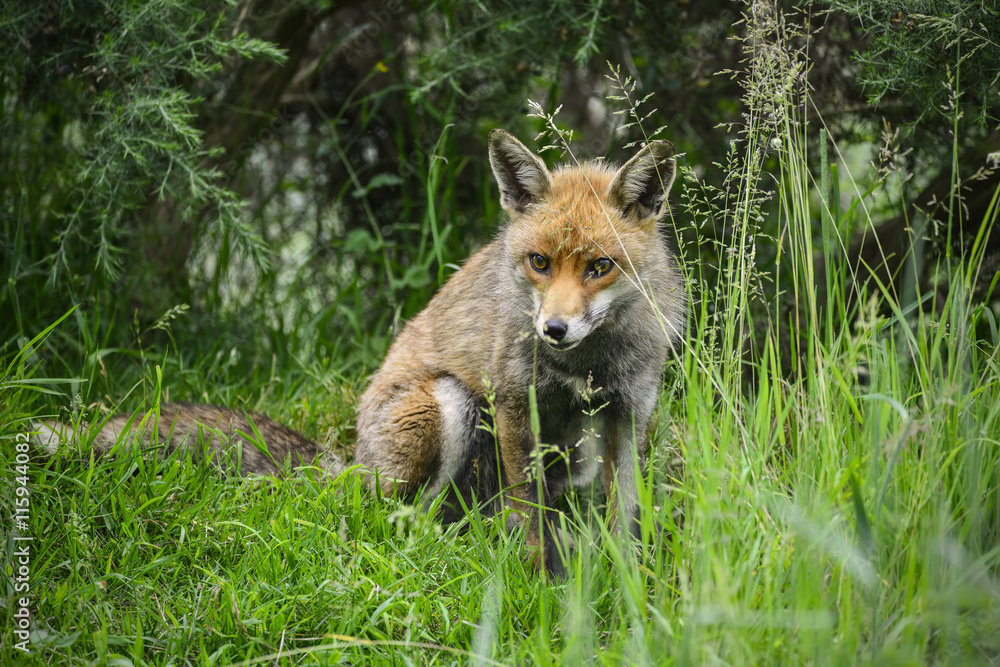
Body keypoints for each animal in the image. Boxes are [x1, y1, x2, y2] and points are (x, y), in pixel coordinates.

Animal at [33, 129, 686, 575]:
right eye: (539, 263)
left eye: (599, 267)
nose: (553, 329)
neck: (585, 366)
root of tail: (351, 458)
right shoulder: (511, 403)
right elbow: (527, 509)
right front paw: (536, 577)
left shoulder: (628, 413)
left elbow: (624, 511)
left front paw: (628, 579)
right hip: (449, 405)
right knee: (394, 517)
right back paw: (438, 546)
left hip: (563, 453)